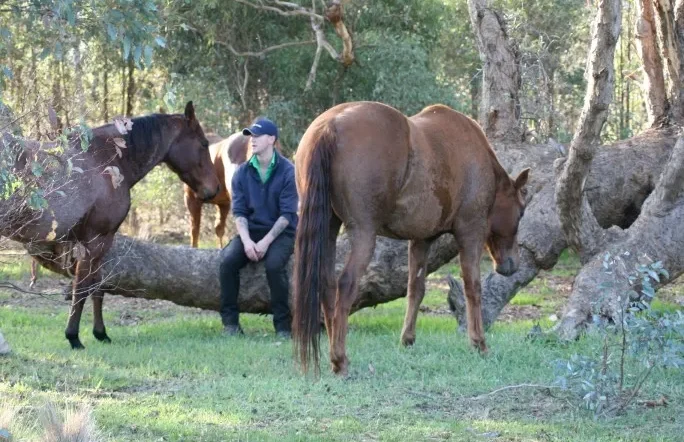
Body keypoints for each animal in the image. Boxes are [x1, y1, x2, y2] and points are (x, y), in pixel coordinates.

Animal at [0, 101, 220, 349]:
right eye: (204, 144)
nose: (214, 189)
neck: (105, 162)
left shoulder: (99, 245)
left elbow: (98, 288)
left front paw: (100, 333)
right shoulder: (96, 241)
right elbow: (82, 288)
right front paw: (73, 337)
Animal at [292, 101, 530, 376]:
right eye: (521, 212)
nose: (511, 264)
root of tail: (330, 125)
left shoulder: (421, 240)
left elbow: (416, 289)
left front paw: (407, 339)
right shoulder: (470, 232)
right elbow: (473, 287)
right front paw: (479, 343)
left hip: (330, 228)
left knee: (328, 285)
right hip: (363, 234)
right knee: (346, 284)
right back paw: (340, 359)